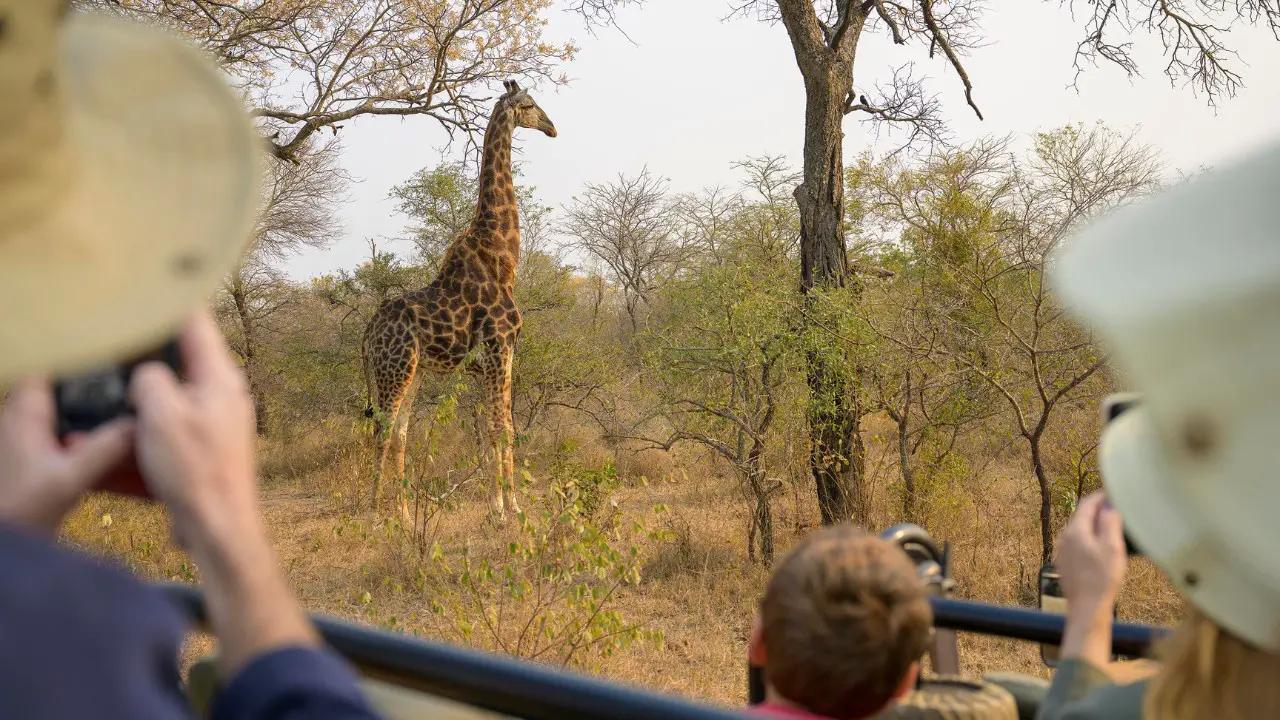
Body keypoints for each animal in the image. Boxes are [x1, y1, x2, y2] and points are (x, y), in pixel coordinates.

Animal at [363, 79, 558, 520]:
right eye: (529, 104)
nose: (552, 127)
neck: (502, 256)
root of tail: (367, 335)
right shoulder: (499, 344)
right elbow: (500, 428)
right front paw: (503, 509)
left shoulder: (500, 353)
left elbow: (498, 426)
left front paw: (507, 504)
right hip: (393, 368)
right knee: (381, 429)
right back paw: (374, 512)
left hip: (413, 371)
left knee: (399, 431)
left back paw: (404, 515)